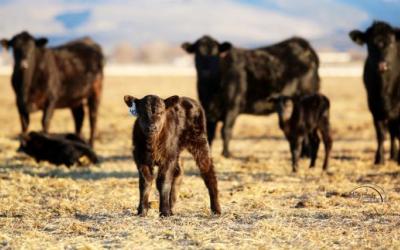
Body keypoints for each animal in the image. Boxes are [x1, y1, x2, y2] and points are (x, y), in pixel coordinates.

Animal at [183, 35, 320, 156]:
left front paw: (226, 153)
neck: (211, 89)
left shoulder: (232, 107)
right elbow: (210, 134)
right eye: (197, 53)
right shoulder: (208, 110)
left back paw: (306, 154)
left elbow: (225, 130)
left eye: (216, 53)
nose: (206, 71)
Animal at [348, 20, 400, 163]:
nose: (382, 65)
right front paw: (379, 159)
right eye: (370, 44)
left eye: (391, 42)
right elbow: (381, 134)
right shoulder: (374, 107)